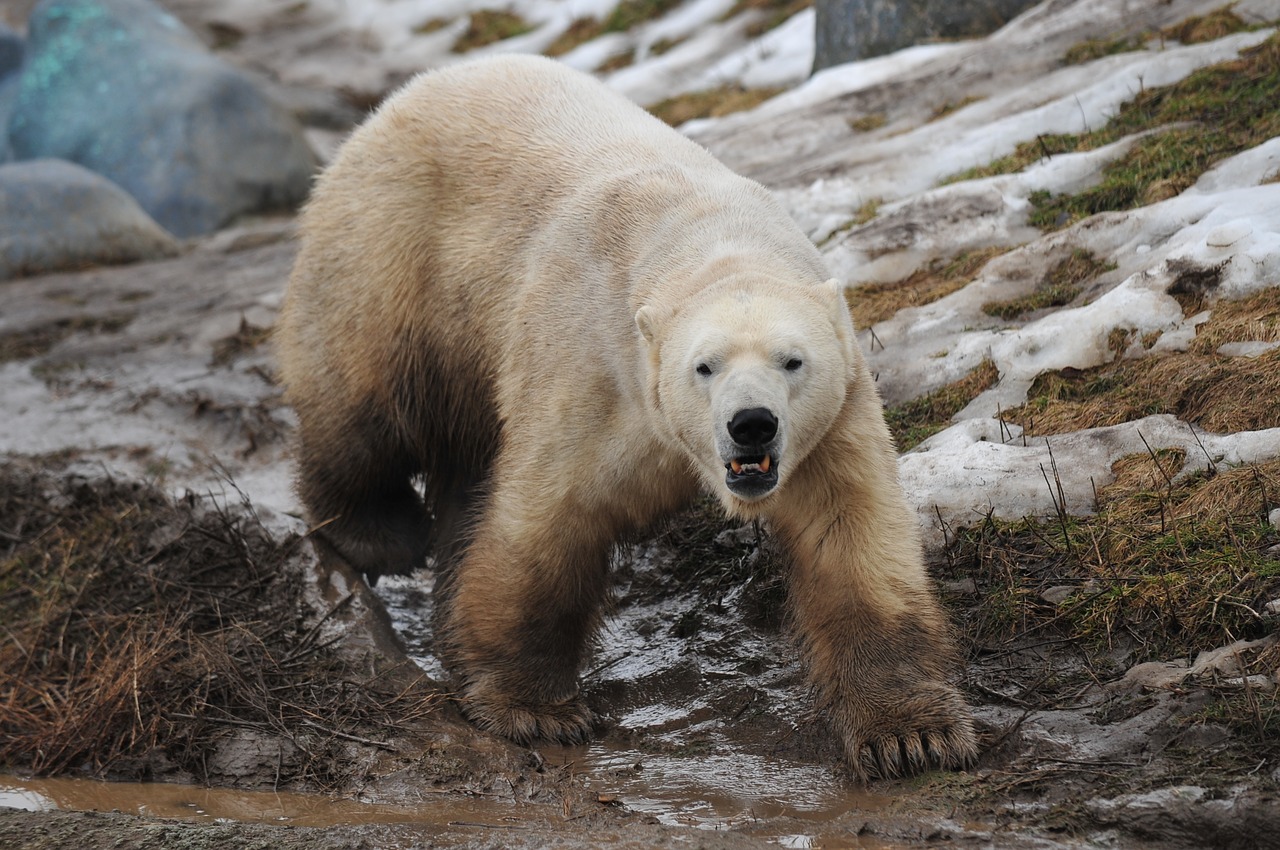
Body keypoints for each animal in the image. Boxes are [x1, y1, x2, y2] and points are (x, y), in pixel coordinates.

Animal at [277, 56, 977, 778]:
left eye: (792, 361)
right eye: (704, 366)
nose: (751, 424)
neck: (707, 233)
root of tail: (397, 101)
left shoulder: (833, 419)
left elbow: (853, 537)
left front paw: (911, 735)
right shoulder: (592, 373)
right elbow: (544, 525)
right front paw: (537, 711)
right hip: (397, 262)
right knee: (363, 406)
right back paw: (379, 532)